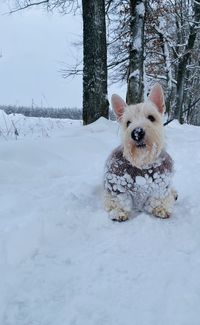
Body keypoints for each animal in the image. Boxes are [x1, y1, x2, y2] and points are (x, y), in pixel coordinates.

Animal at [104, 82, 177, 221]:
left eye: (151, 117)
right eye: (128, 123)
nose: (137, 133)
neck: (143, 161)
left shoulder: (160, 187)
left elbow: (158, 199)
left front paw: (161, 209)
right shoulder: (116, 186)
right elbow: (118, 200)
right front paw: (119, 211)